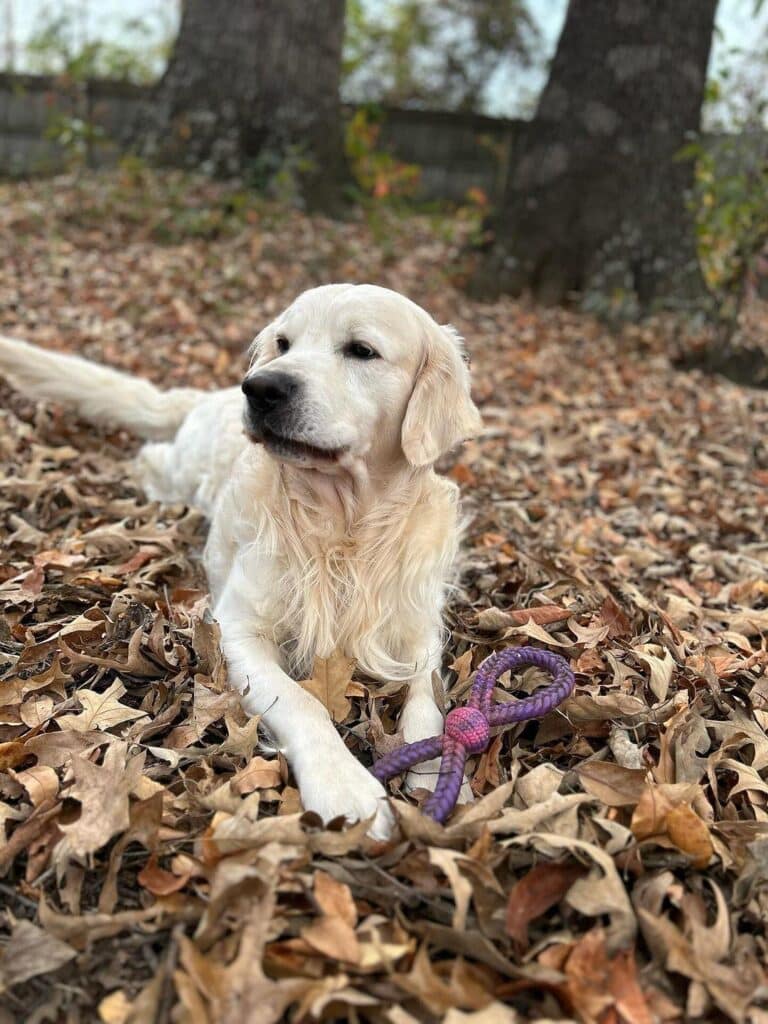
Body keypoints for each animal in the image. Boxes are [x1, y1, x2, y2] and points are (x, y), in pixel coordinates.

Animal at [0, 284, 481, 835]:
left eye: (362, 350)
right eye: (284, 343)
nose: (261, 388)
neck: (343, 527)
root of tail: (213, 395)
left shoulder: (417, 627)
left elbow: (429, 705)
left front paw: (441, 775)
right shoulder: (237, 629)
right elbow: (302, 702)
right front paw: (344, 786)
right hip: (182, 469)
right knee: (151, 459)